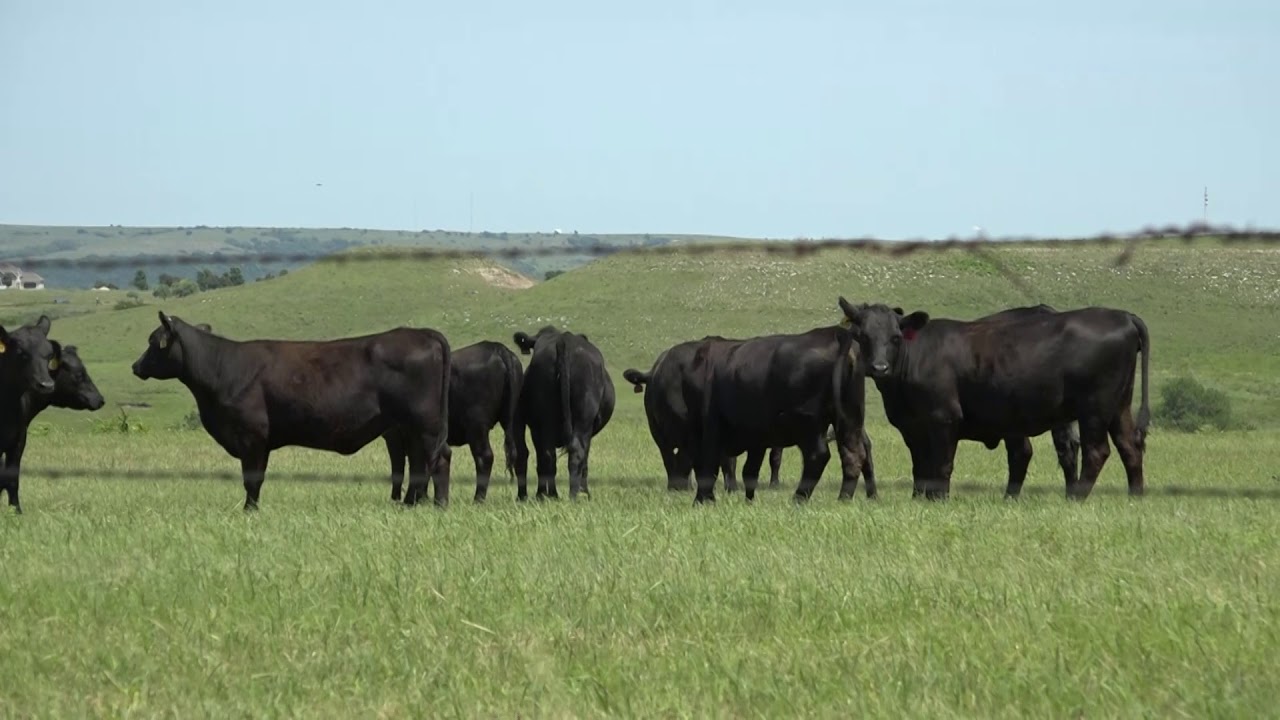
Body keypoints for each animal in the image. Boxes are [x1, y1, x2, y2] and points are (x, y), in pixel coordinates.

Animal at [131, 312, 452, 509]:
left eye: (152, 342)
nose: (135, 366)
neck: (223, 367)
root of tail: (422, 333)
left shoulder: (252, 437)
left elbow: (252, 478)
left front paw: (249, 511)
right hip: (410, 427)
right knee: (426, 461)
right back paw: (420, 504)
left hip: (423, 424)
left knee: (435, 460)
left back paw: (432, 505)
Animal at [386, 340, 526, 504]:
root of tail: (498, 348)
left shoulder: (395, 434)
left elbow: (401, 467)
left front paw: (400, 499)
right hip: (511, 422)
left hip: (477, 426)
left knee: (484, 456)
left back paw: (478, 499)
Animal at [511, 326, 614, 501]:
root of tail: (563, 341)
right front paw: (584, 491)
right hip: (581, 417)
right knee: (573, 452)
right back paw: (570, 495)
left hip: (546, 419)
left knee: (548, 455)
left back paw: (550, 494)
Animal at [683, 325, 875, 505]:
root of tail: (834, 334)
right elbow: (746, 468)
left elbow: (713, 465)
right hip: (849, 417)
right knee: (854, 454)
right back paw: (845, 498)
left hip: (809, 423)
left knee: (818, 455)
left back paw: (799, 499)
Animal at [836, 297, 1150, 501]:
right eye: (862, 335)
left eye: (895, 337)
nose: (879, 367)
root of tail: (1124, 316)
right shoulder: (912, 427)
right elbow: (920, 466)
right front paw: (918, 499)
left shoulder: (944, 418)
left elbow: (940, 465)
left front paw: (939, 500)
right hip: (1119, 406)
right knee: (1129, 447)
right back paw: (1135, 498)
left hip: (1094, 410)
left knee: (1096, 452)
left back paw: (1076, 498)